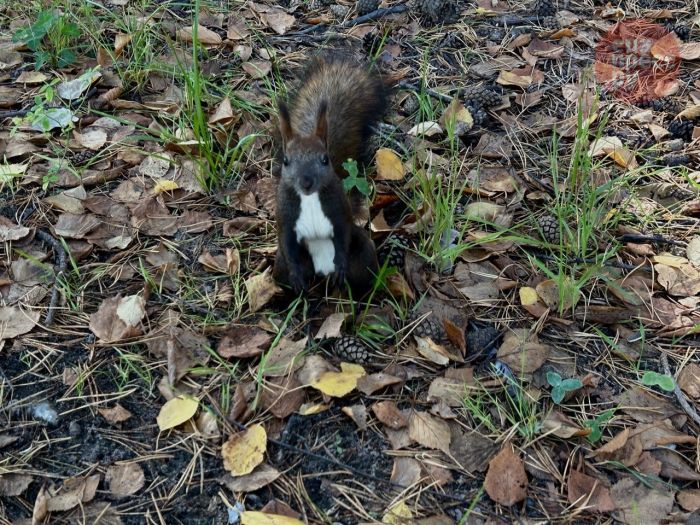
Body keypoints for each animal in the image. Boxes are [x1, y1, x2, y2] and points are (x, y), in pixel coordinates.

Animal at [272, 53, 390, 296]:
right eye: (286, 161)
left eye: (325, 159)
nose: (306, 182)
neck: (309, 198)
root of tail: (323, 272)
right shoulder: (285, 217)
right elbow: (287, 241)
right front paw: (296, 277)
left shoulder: (339, 211)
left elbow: (342, 234)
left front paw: (342, 265)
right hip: (282, 267)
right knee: (284, 273)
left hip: (363, 255)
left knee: (363, 277)